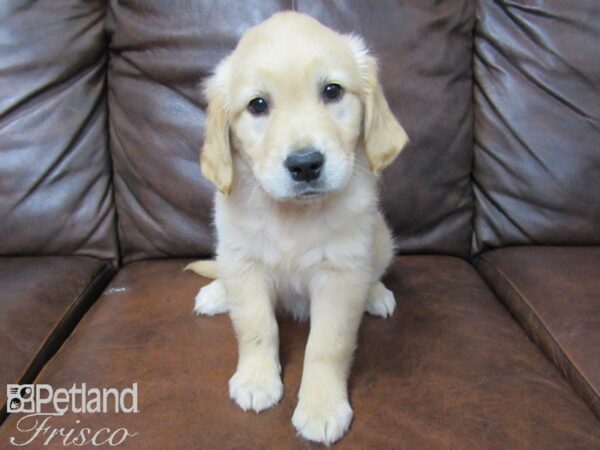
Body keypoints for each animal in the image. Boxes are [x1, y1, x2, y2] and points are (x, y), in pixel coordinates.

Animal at [190, 11, 410, 446]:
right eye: (258, 105)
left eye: (332, 91)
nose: (306, 164)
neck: (292, 215)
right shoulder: (244, 262)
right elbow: (256, 326)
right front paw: (256, 380)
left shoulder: (341, 274)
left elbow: (327, 346)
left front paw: (321, 407)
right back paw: (216, 292)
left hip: (380, 239)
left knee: (375, 271)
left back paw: (375, 294)